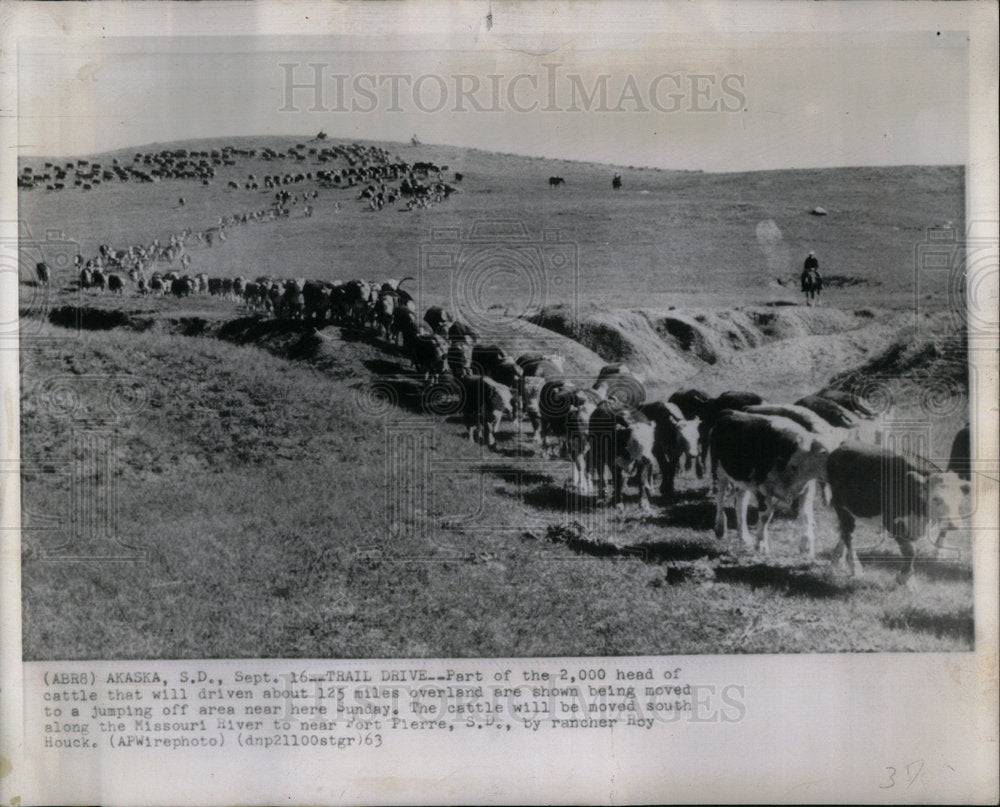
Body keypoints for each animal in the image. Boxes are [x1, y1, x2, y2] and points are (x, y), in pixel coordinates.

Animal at [712, 414, 828, 560]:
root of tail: (729, 413)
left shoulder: (807, 489)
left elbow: (807, 517)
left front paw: (806, 547)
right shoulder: (763, 488)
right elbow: (765, 516)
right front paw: (761, 545)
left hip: (744, 480)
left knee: (741, 503)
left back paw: (744, 536)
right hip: (719, 471)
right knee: (720, 498)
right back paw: (720, 529)